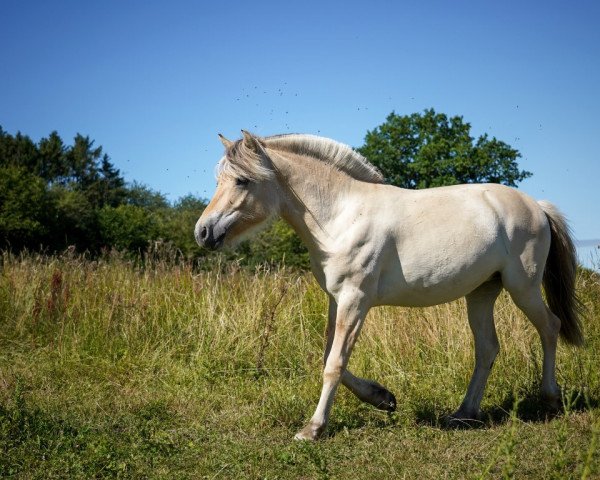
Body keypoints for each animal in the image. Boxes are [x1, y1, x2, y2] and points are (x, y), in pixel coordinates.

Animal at [195, 129, 584, 440]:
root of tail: (537, 206)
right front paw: (383, 398)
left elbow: (334, 363)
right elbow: (330, 356)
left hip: (523, 288)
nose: (203, 232)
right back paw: (463, 414)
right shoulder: (337, 299)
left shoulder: (355, 300)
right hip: (482, 293)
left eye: (241, 181)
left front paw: (313, 429)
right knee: (487, 349)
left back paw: (550, 399)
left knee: (550, 328)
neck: (340, 216)